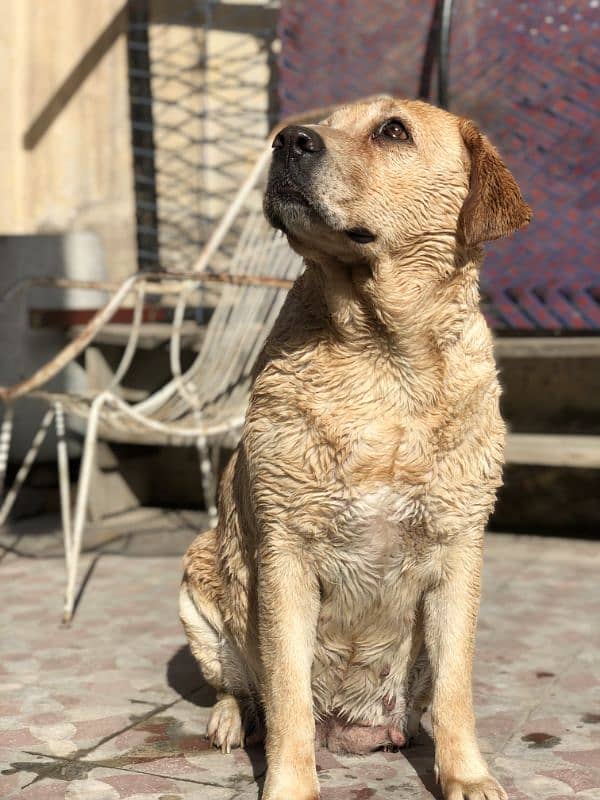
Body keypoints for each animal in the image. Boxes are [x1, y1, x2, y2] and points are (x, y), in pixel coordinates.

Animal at [178, 95, 528, 800]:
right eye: (323, 122)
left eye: (393, 131)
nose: (288, 140)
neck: (381, 357)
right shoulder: (285, 551)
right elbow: (285, 694)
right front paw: (289, 785)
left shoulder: (459, 551)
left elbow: (455, 688)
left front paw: (467, 775)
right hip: (199, 581)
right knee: (238, 685)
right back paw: (231, 719)